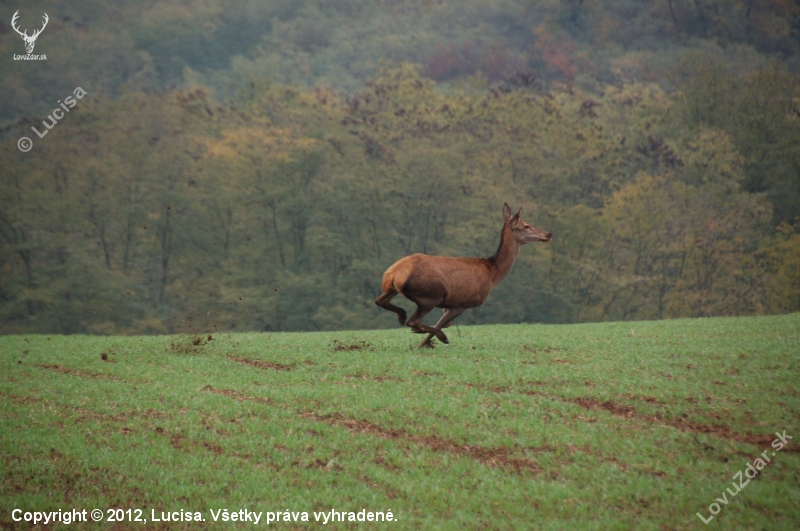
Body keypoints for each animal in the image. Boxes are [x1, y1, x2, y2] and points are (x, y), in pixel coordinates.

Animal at [375, 203, 552, 348]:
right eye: (527, 226)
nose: (548, 234)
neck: (493, 274)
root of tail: (393, 274)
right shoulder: (463, 303)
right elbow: (440, 325)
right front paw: (424, 342)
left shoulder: (449, 303)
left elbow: (444, 323)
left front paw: (421, 342)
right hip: (430, 296)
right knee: (413, 320)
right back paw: (435, 334)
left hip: (394, 289)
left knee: (380, 301)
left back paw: (402, 316)